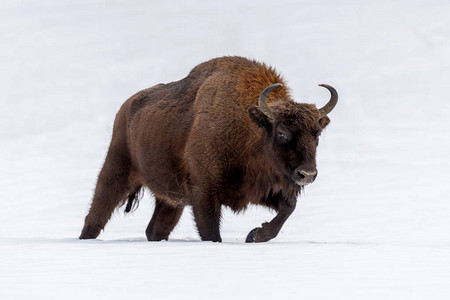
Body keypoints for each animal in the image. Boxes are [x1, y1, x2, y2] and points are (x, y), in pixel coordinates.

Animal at [79, 56, 336, 244]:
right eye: (281, 132)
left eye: (316, 134)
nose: (307, 174)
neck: (249, 125)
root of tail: (125, 108)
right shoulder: (205, 193)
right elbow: (211, 232)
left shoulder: (259, 189)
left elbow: (288, 208)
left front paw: (255, 235)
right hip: (116, 170)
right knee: (96, 214)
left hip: (171, 199)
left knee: (156, 229)